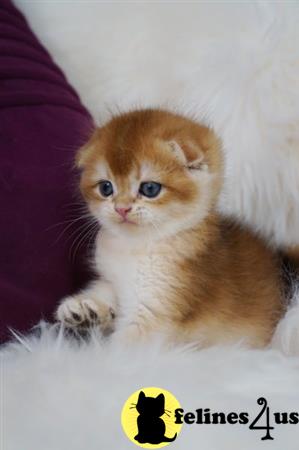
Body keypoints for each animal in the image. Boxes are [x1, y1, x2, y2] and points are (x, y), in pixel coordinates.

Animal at [56, 109, 286, 348]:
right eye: (106, 188)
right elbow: (108, 288)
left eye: (149, 188)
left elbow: (122, 345)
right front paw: (86, 307)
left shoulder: (154, 310)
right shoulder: (115, 278)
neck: (135, 245)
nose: (121, 208)